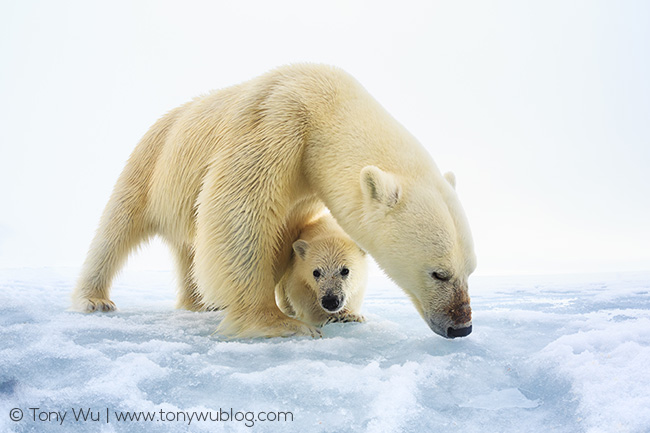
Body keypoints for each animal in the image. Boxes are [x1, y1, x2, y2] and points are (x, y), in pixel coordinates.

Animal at [72, 64, 476, 340]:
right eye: (438, 272)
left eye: (470, 270)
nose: (461, 327)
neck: (325, 105)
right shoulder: (276, 125)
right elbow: (236, 214)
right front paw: (279, 322)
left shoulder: (304, 187)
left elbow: (282, 238)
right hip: (152, 162)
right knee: (117, 226)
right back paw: (94, 299)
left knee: (188, 247)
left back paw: (199, 302)